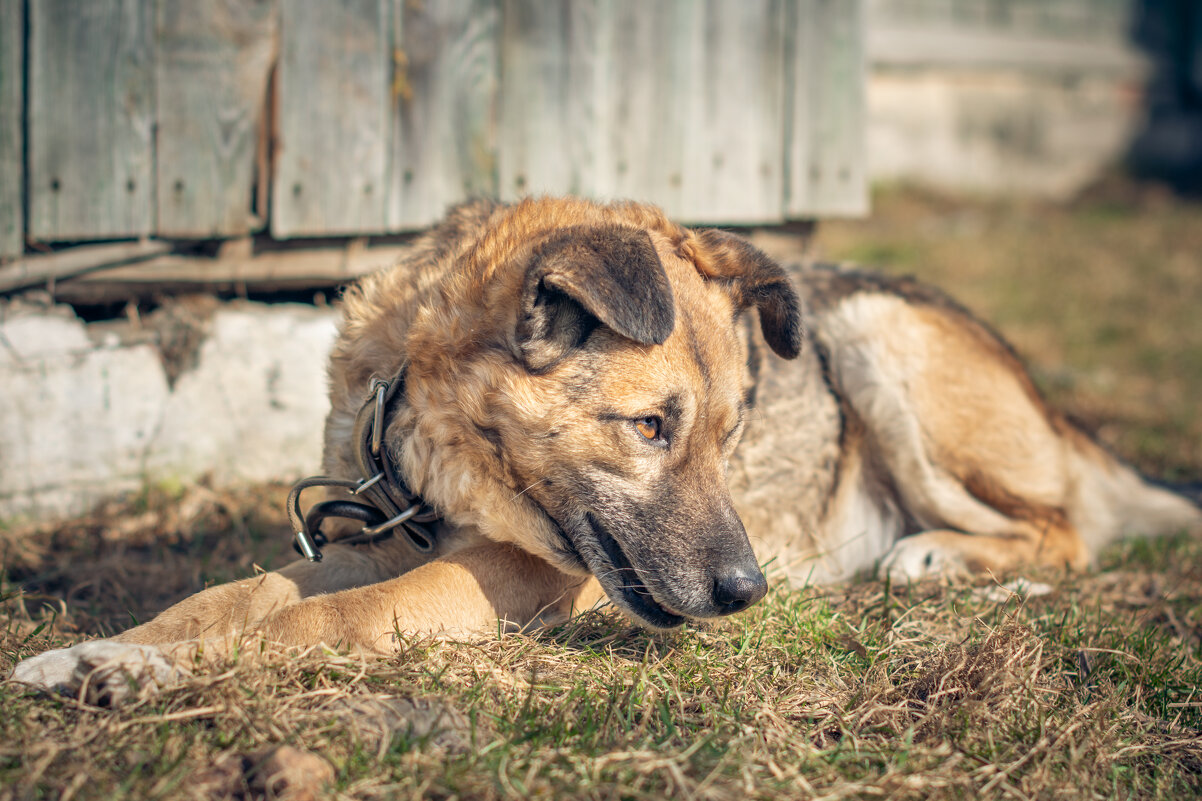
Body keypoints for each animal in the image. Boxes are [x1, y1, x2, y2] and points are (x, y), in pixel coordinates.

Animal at [9, 194, 1202, 692]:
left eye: (731, 434)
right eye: (649, 428)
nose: (747, 594)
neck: (439, 443)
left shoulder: (510, 576)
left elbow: (321, 622)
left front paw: (148, 671)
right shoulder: (372, 543)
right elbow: (242, 595)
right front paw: (113, 651)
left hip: (881, 339)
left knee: (1063, 532)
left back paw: (938, 561)